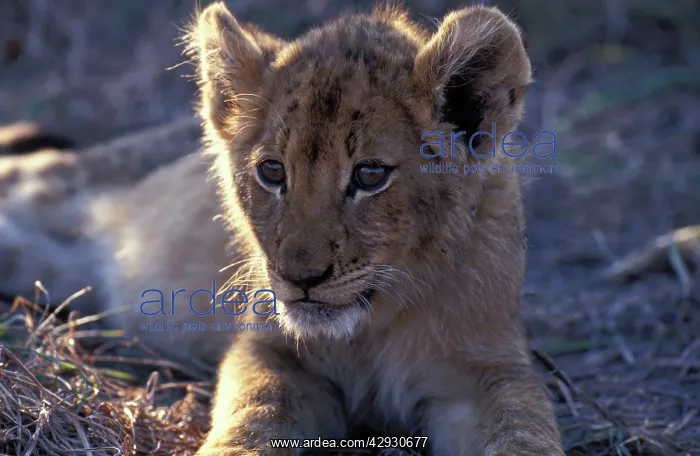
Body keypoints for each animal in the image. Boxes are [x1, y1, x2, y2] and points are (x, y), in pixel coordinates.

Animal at [0, 2, 565, 455]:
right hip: (67, 186)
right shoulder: (271, 349)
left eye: (370, 175)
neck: (374, 323)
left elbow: (522, 428)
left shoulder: (485, 369)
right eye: (272, 172)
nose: (301, 278)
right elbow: (255, 411)